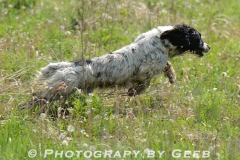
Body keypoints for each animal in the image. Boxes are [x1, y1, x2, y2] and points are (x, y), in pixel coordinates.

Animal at [21, 24, 212, 109]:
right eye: (198, 38)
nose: (209, 47)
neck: (161, 40)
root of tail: (64, 67)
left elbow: (167, 66)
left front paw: (172, 76)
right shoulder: (147, 69)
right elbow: (147, 81)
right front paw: (134, 92)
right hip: (60, 90)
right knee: (36, 98)